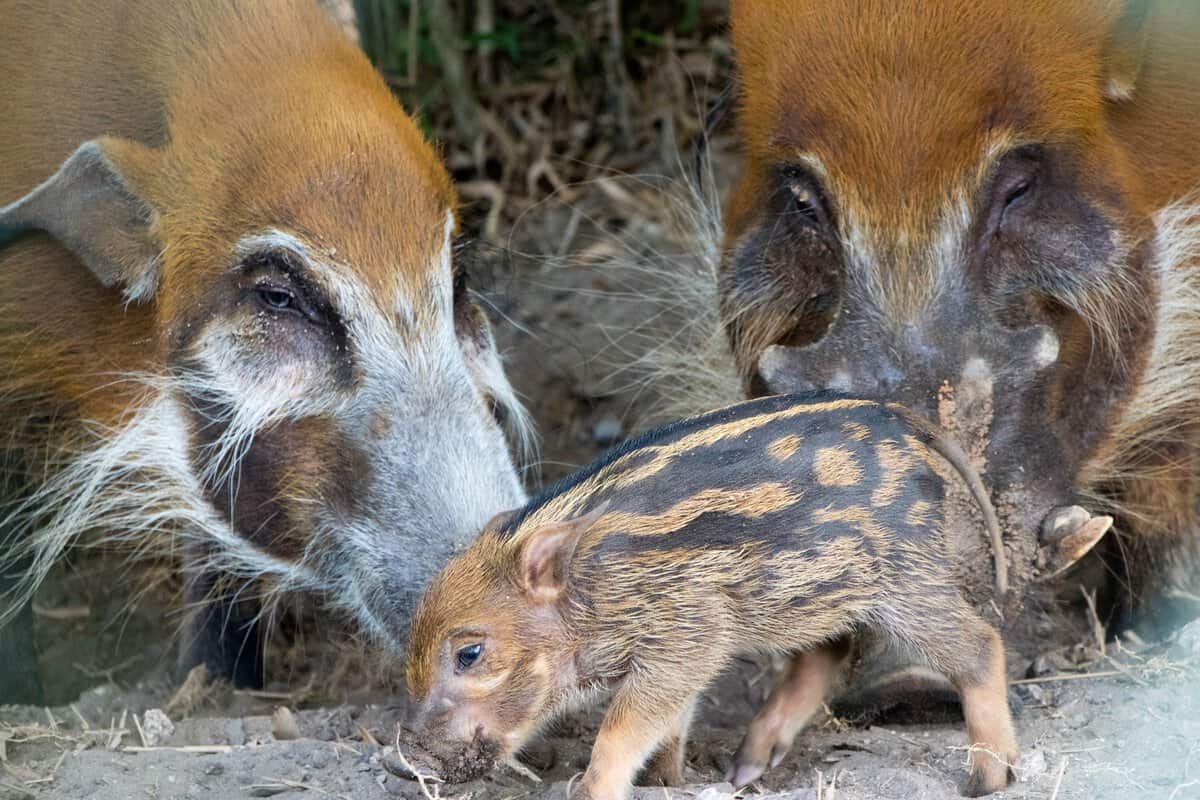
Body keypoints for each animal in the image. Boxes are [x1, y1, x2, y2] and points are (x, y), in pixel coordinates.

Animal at [407, 394, 1021, 799]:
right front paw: (669, 782)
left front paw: (595, 790)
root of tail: (904, 421)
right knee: (828, 652)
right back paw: (744, 771)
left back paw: (987, 781)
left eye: (469, 654)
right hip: (821, 591)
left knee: (980, 645)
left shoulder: (687, 635)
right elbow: (670, 722)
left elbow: (622, 729)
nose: (409, 760)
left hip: (905, 576)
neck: (594, 590)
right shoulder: (682, 649)